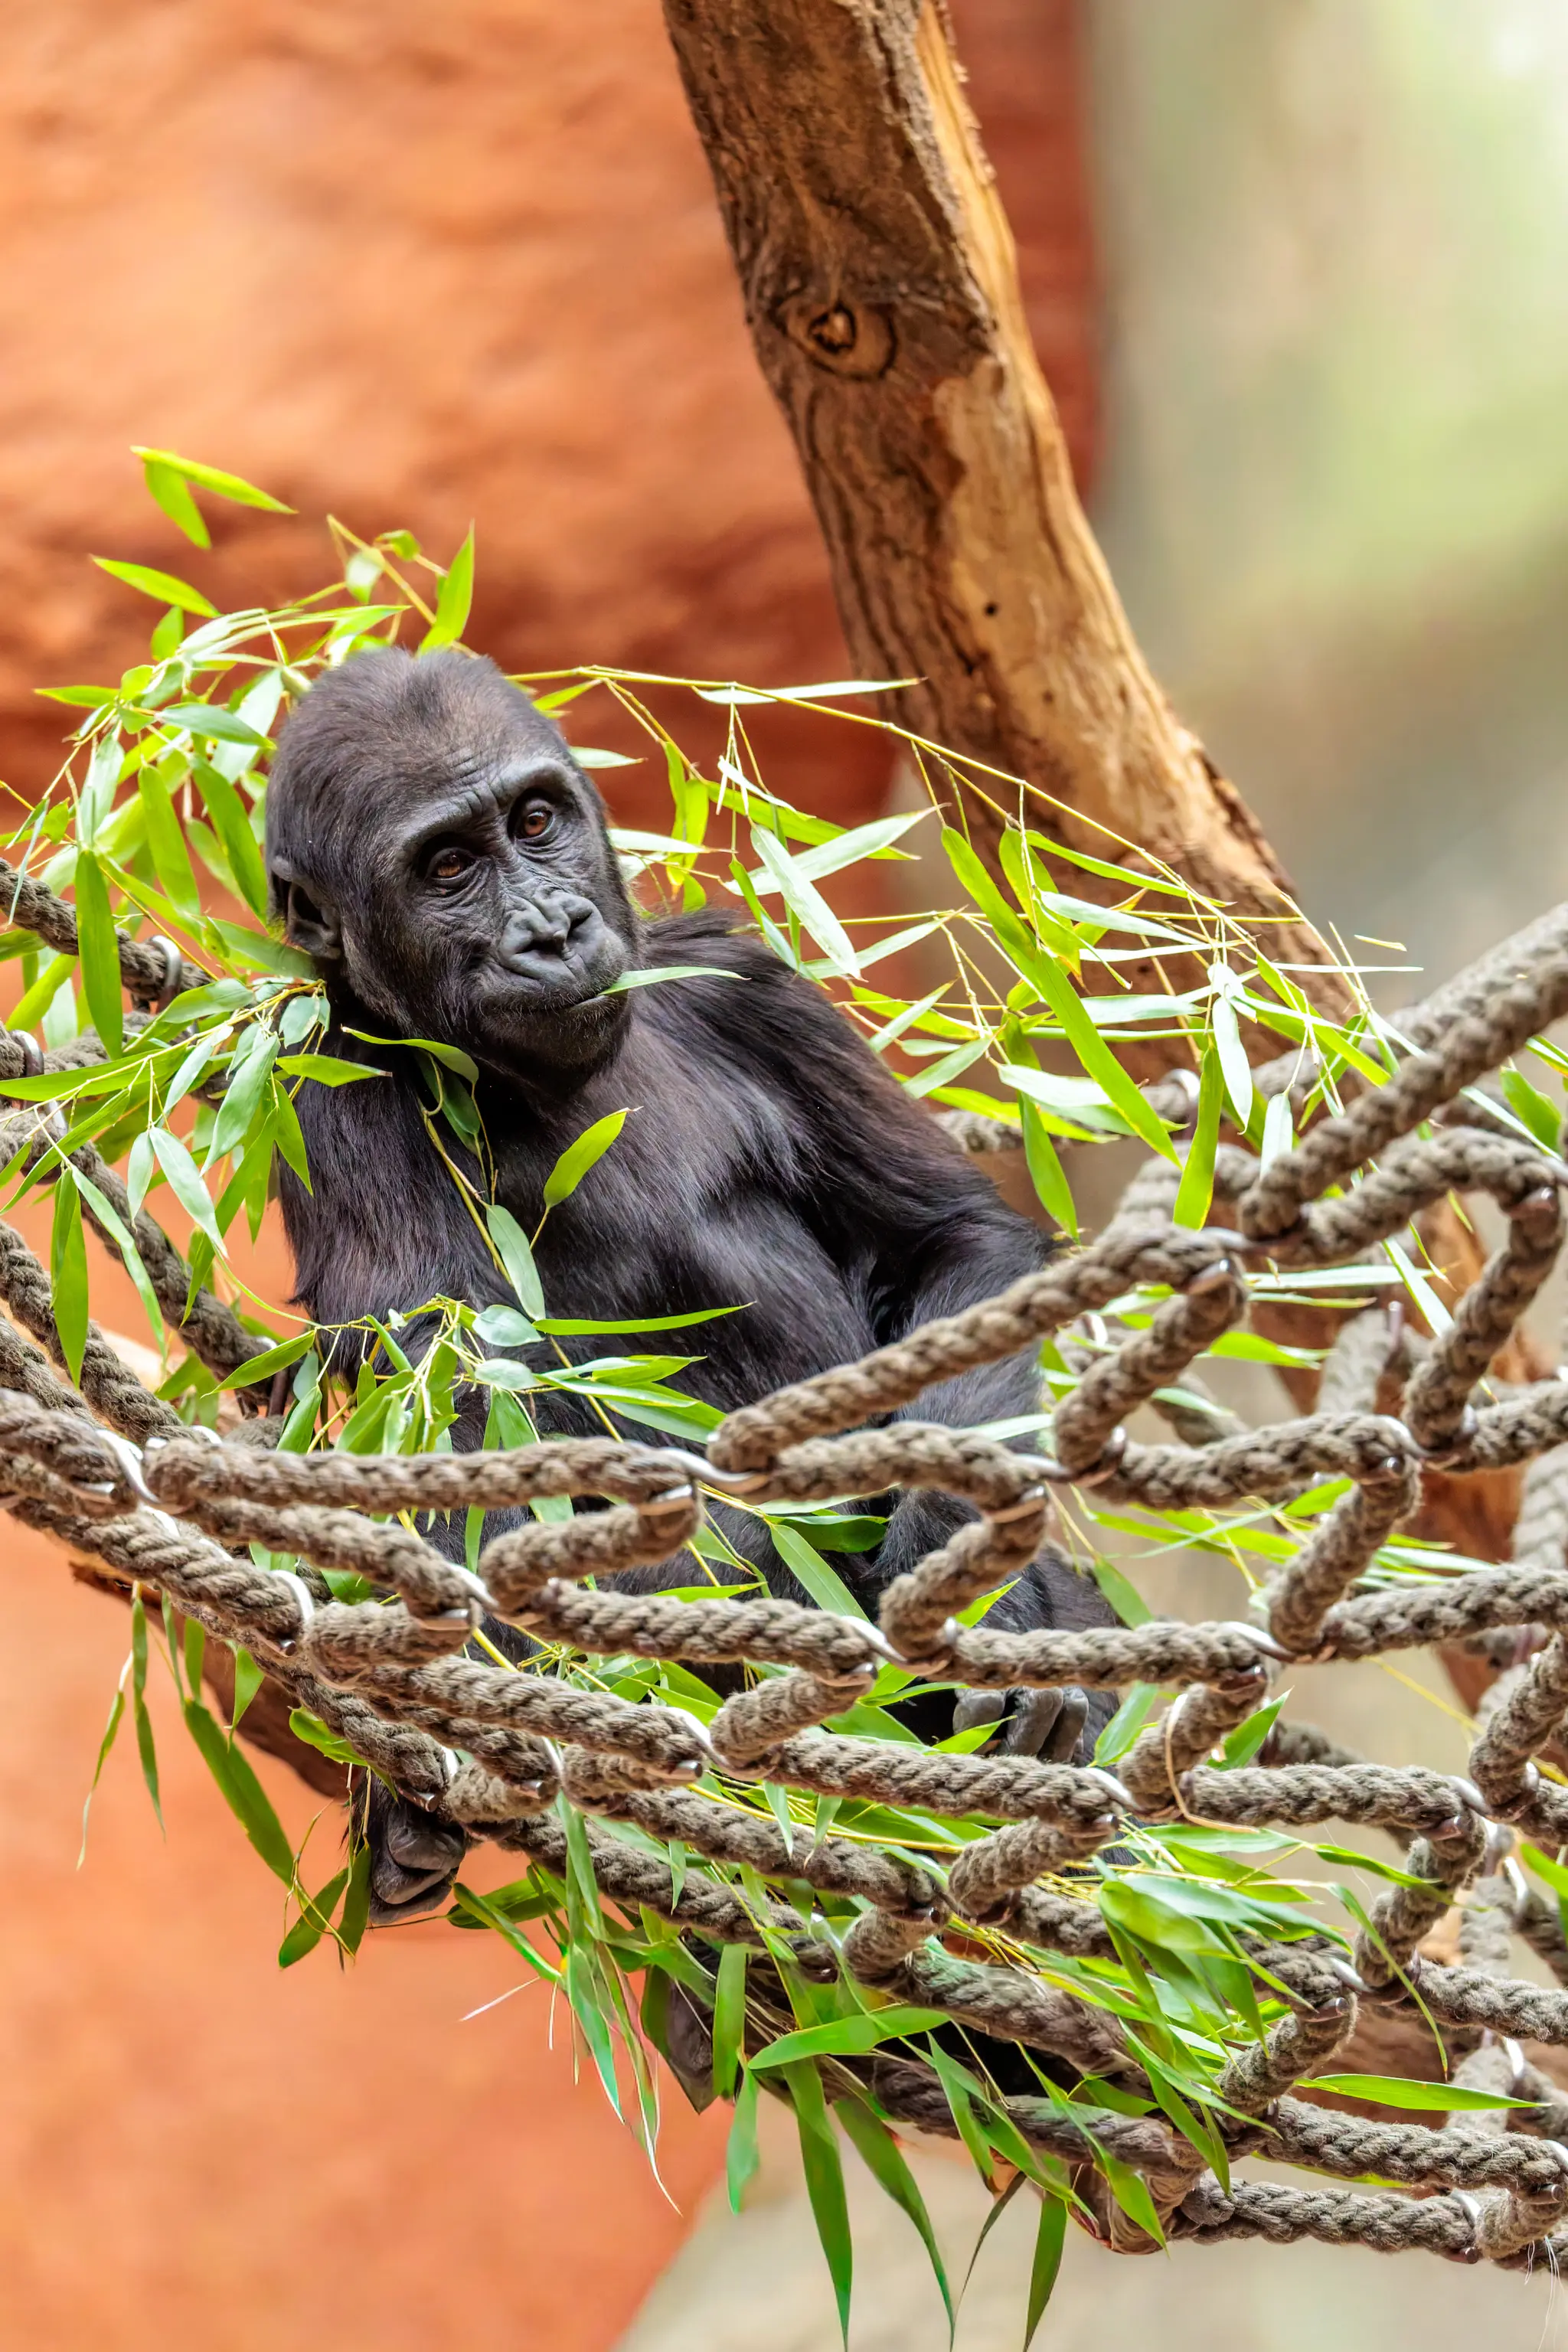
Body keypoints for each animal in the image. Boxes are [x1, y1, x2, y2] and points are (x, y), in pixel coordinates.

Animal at [264, 647, 1116, 1918]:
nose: (553, 930)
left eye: (536, 821)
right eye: (449, 868)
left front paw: (963, 1594)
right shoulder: (330, 1098)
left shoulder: (746, 983)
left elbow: (949, 1246)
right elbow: (455, 1433)